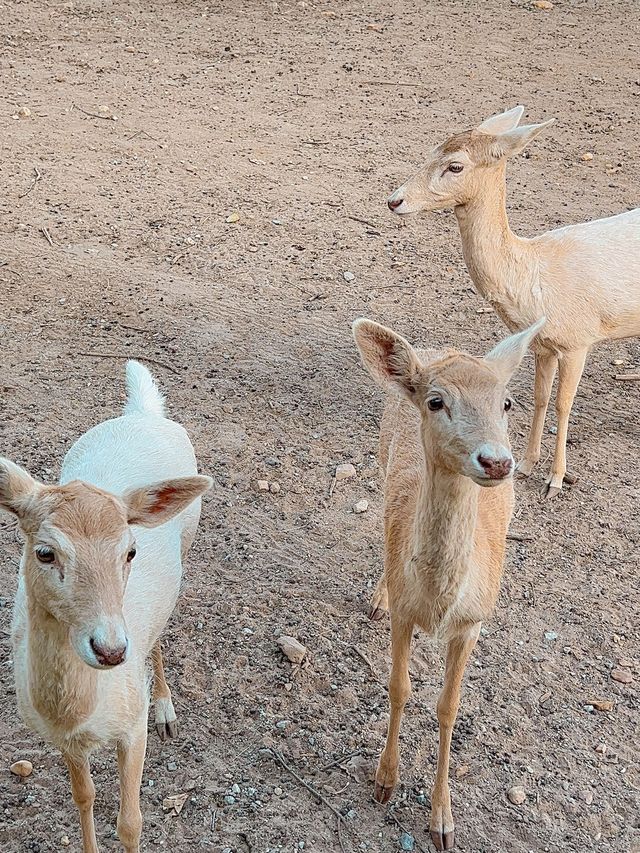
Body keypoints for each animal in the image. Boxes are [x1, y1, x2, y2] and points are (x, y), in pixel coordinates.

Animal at [352, 316, 544, 848]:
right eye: (436, 401)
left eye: (507, 402)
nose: (497, 462)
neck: (439, 604)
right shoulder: (404, 614)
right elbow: (398, 687)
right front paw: (384, 782)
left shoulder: (473, 624)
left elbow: (449, 707)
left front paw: (443, 821)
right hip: (380, 457)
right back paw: (375, 594)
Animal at [384, 105, 640, 500]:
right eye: (430, 151)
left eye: (455, 166)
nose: (395, 200)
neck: (535, 279)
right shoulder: (544, 345)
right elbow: (540, 397)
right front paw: (526, 465)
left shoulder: (578, 340)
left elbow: (564, 404)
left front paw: (555, 480)